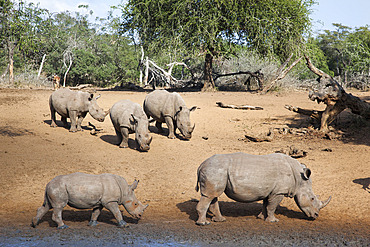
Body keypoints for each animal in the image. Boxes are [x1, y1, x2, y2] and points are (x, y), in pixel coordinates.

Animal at [195, 152, 330, 226]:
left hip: (216, 171)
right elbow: (272, 206)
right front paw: (273, 221)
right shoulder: (279, 191)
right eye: (312, 198)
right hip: (214, 170)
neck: (299, 179)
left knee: (213, 195)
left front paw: (261, 217)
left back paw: (220, 220)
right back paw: (204, 223)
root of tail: (201, 165)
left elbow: (266, 204)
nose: (316, 216)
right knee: (210, 196)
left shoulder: (270, 190)